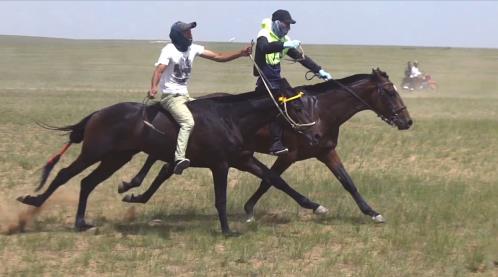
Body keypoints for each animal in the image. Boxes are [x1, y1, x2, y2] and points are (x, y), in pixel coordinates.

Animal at [17, 78, 322, 234]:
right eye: (297, 108)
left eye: (311, 104)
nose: (316, 136)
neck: (231, 117)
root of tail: (98, 113)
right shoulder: (220, 164)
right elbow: (221, 198)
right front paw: (227, 230)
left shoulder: (243, 160)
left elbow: (276, 180)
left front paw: (315, 205)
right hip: (95, 152)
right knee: (64, 174)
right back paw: (32, 202)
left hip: (116, 158)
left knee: (86, 182)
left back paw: (81, 222)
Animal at [119, 68, 412, 222]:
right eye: (389, 91)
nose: (407, 121)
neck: (321, 111)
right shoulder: (288, 155)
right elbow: (269, 181)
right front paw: (249, 209)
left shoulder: (326, 151)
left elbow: (347, 182)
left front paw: (372, 212)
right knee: (164, 167)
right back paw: (134, 188)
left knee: (165, 169)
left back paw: (135, 193)